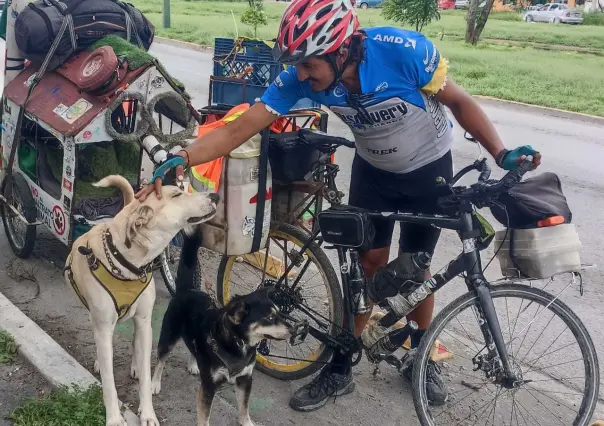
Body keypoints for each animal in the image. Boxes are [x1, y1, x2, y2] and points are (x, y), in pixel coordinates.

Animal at [63, 176, 218, 426]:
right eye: (176, 195)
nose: (216, 196)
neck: (127, 262)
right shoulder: (103, 326)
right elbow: (109, 382)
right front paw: (114, 418)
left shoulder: (146, 322)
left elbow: (146, 376)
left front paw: (147, 413)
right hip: (96, 317)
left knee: (136, 339)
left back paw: (135, 364)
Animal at [153, 233, 294, 426]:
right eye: (270, 318)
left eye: (279, 313)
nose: (295, 330)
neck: (238, 343)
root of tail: (188, 289)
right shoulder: (210, 385)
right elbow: (205, 416)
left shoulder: (245, 379)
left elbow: (244, 408)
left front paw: (246, 422)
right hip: (168, 337)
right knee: (160, 360)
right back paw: (154, 384)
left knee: (194, 347)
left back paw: (193, 364)